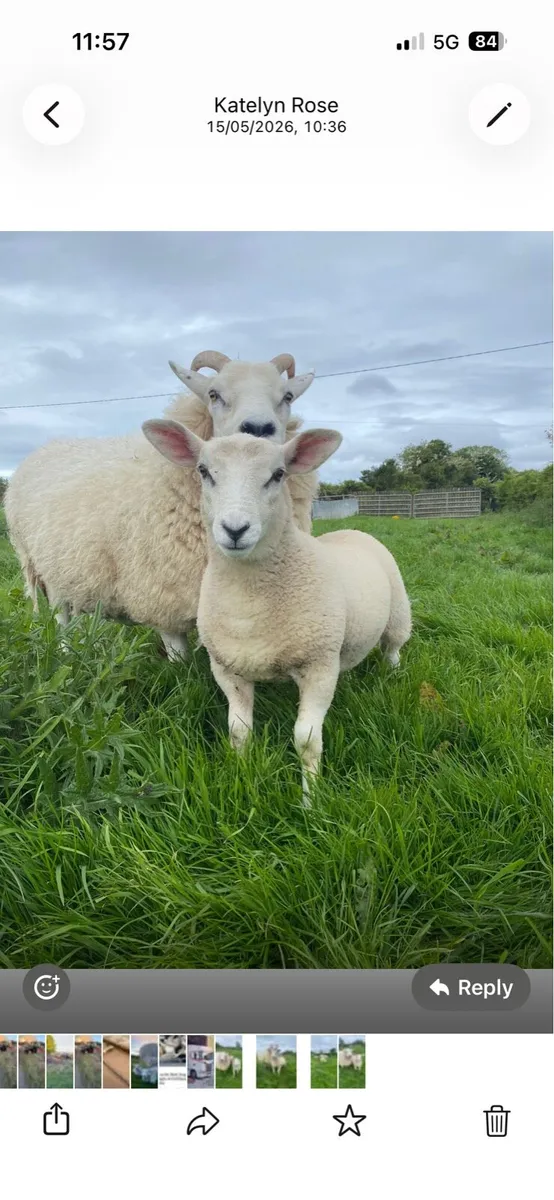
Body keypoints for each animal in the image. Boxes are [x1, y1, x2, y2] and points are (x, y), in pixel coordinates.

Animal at [5, 352, 317, 661]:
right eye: (214, 394)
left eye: (287, 396)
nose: (259, 429)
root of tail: (49, 445)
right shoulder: (162, 593)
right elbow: (179, 657)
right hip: (42, 568)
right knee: (61, 616)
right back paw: (66, 652)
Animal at [142, 421, 412, 793]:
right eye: (203, 471)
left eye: (278, 474)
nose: (235, 529)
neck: (250, 602)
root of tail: (351, 529)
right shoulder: (227, 668)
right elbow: (238, 731)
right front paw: (242, 776)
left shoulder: (318, 665)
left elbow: (307, 740)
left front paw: (312, 797)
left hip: (398, 612)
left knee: (393, 648)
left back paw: (393, 674)